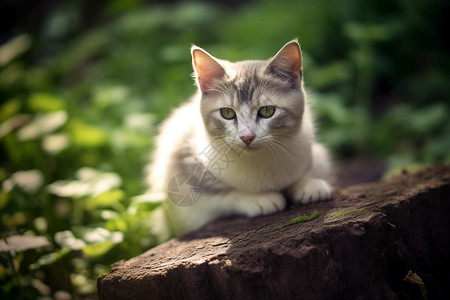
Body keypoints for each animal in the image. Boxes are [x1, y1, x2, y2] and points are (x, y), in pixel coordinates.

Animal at [146, 39, 332, 237]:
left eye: (267, 111)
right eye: (227, 113)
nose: (247, 137)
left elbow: (303, 170)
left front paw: (308, 184)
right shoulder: (184, 171)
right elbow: (219, 195)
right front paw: (258, 199)